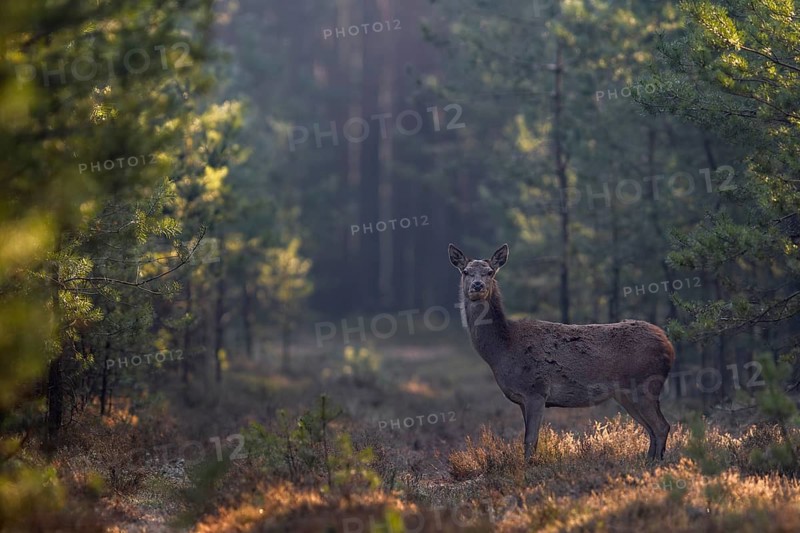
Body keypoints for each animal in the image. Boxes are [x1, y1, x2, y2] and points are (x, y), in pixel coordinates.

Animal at [448, 243, 675, 461]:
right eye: (466, 271)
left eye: (490, 272)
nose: (478, 285)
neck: (502, 350)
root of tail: (668, 344)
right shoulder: (522, 399)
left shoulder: (536, 390)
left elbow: (530, 440)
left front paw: (528, 468)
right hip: (626, 394)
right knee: (651, 429)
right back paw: (648, 461)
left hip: (646, 384)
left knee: (661, 426)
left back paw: (656, 464)